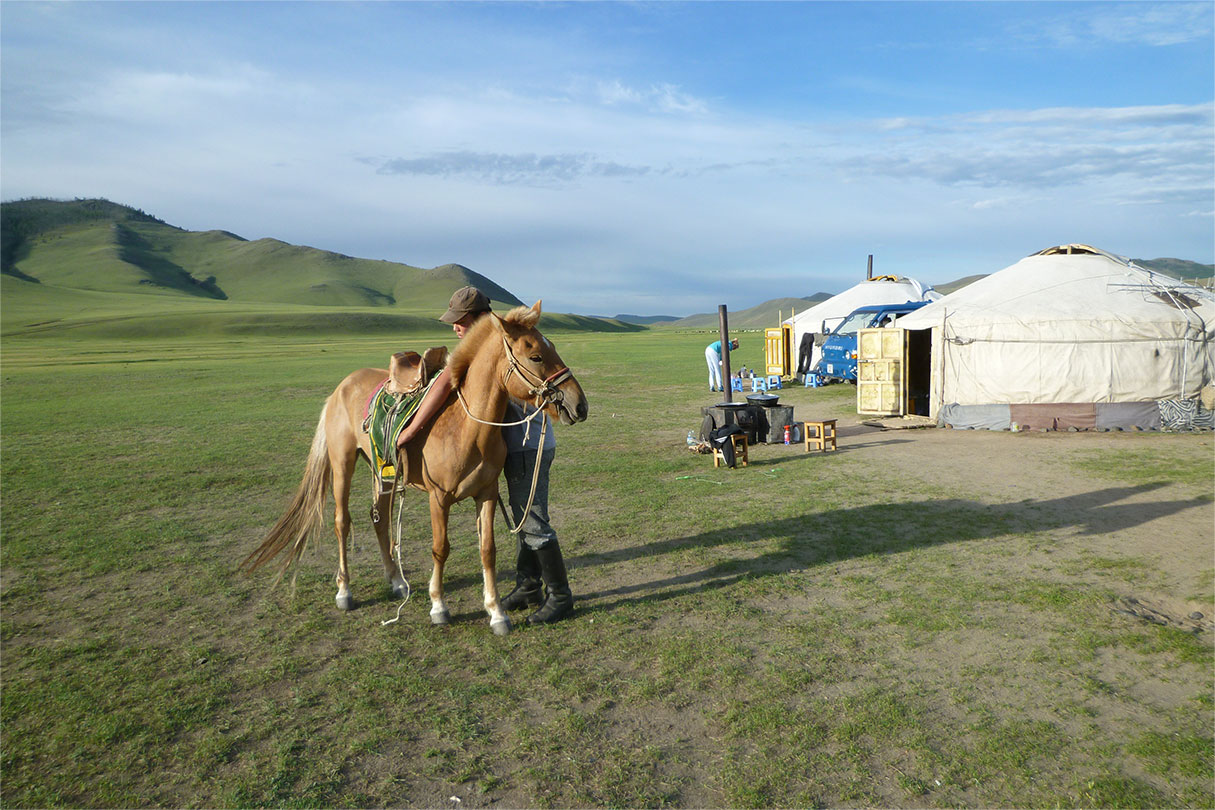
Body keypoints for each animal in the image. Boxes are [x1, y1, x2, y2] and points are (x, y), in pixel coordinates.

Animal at [238, 301, 588, 636]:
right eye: (536, 356)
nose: (579, 404)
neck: (467, 428)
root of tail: (341, 387)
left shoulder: (487, 494)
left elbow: (487, 550)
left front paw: (496, 612)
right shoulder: (439, 497)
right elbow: (440, 549)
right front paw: (439, 607)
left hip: (382, 472)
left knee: (379, 519)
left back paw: (396, 581)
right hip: (342, 464)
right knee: (341, 521)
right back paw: (344, 591)